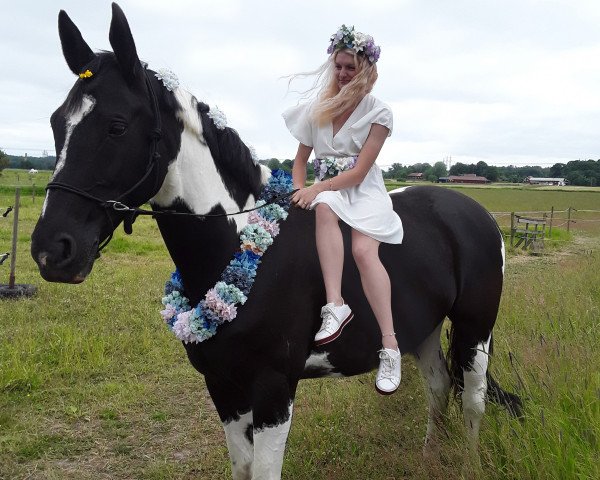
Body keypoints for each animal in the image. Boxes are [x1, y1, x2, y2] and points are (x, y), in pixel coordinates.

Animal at [31, 4, 520, 480]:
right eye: (56, 122)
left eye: (116, 126)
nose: (52, 250)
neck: (240, 248)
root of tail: (473, 211)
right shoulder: (223, 386)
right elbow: (243, 467)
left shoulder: (273, 389)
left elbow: (265, 470)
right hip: (423, 329)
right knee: (439, 387)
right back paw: (429, 457)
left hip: (475, 328)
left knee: (473, 400)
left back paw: (468, 464)